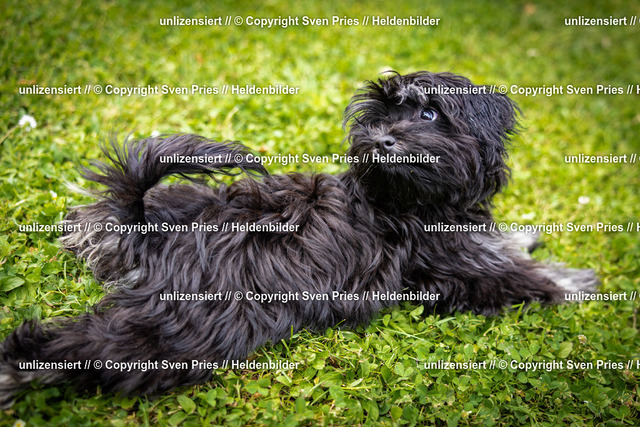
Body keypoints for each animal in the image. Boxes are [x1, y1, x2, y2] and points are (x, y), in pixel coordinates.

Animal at [0, 71, 597, 407]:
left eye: (430, 113)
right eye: (379, 115)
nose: (381, 140)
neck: (402, 196)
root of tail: (149, 229)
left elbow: (509, 246)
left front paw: (528, 235)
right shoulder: (461, 271)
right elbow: (531, 282)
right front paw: (576, 281)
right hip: (187, 323)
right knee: (92, 348)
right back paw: (17, 373)